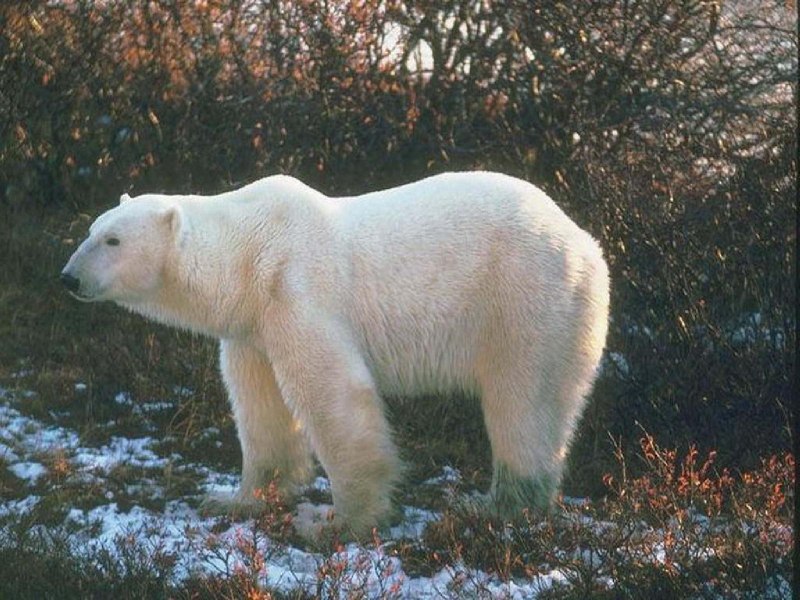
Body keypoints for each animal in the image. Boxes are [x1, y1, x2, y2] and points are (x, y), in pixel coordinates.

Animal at [61, 171, 610, 539]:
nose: (68, 278)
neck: (248, 254)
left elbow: (334, 394)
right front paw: (233, 499)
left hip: (525, 299)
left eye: (112, 239)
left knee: (523, 402)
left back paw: (496, 506)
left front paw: (336, 523)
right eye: (91, 231)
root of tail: (586, 241)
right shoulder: (253, 325)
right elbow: (260, 408)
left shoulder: (298, 291)